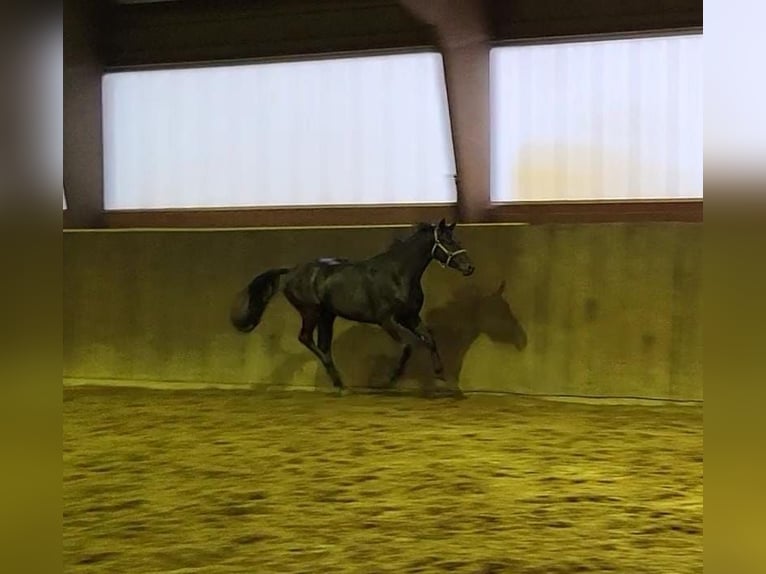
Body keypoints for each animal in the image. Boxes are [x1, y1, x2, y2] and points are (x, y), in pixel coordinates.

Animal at [229, 219, 475, 393]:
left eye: (457, 240)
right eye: (449, 241)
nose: (469, 268)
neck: (398, 274)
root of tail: (291, 272)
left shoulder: (410, 317)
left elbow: (429, 340)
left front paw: (441, 376)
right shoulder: (387, 320)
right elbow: (407, 347)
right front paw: (389, 380)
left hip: (327, 315)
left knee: (323, 344)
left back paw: (339, 383)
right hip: (311, 312)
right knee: (306, 338)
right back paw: (340, 382)